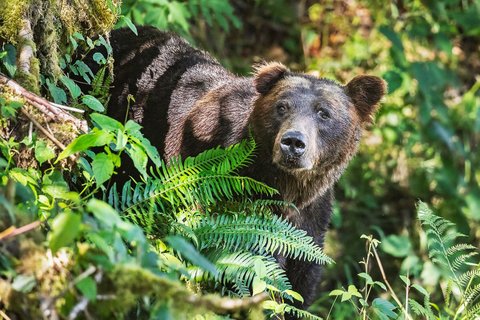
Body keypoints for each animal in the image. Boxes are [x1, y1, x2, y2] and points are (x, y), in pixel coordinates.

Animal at [97, 26, 386, 310]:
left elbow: (301, 280)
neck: (285, 186)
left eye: (323, 113)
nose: (293, 142)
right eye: (282, 107)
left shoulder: (311, 219)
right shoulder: (229, 193)